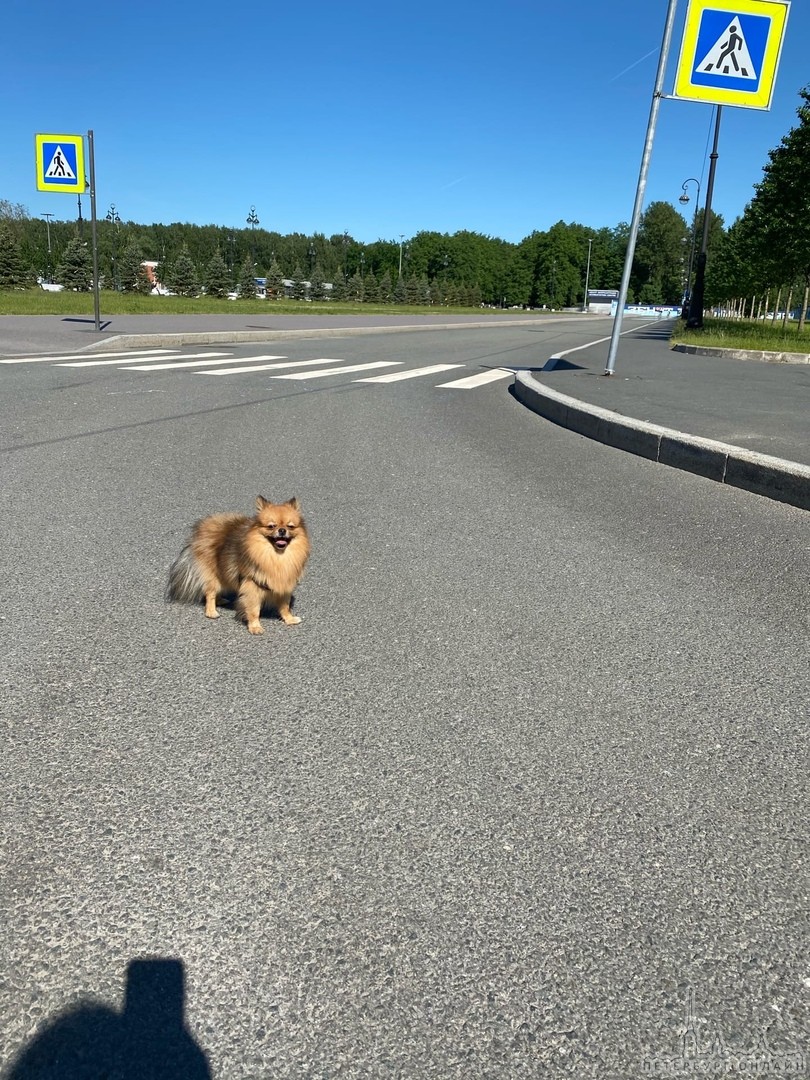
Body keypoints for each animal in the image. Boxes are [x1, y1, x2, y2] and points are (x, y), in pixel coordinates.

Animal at [168, 494, 311, 630]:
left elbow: (285, 606)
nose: (282, 530)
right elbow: (254, 610)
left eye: (290, 526)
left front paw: (289, 619)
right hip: (212, 575)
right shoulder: (252, 586)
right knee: (210, 592)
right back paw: (211, 611)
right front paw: (255, 627)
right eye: (271, 526)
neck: (278, 557)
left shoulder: (284, 585)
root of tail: (204, 525)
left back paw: (220, 600)